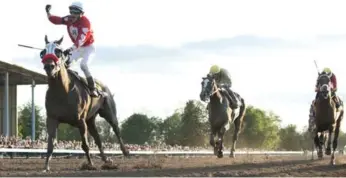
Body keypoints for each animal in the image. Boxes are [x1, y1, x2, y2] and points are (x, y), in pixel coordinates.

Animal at [40, 35, 129, 171]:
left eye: (58, 51)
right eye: (43, 52)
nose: (49, 66)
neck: (63, 91)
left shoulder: (81, 121)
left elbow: (85, 145)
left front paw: (90, 164)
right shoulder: (52, 119)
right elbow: (50, 144)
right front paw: (46, 167)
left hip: (109, 113)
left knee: (116, 129)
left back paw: (125, 152)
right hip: (91, 119)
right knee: (98, 139)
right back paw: (106, 160)